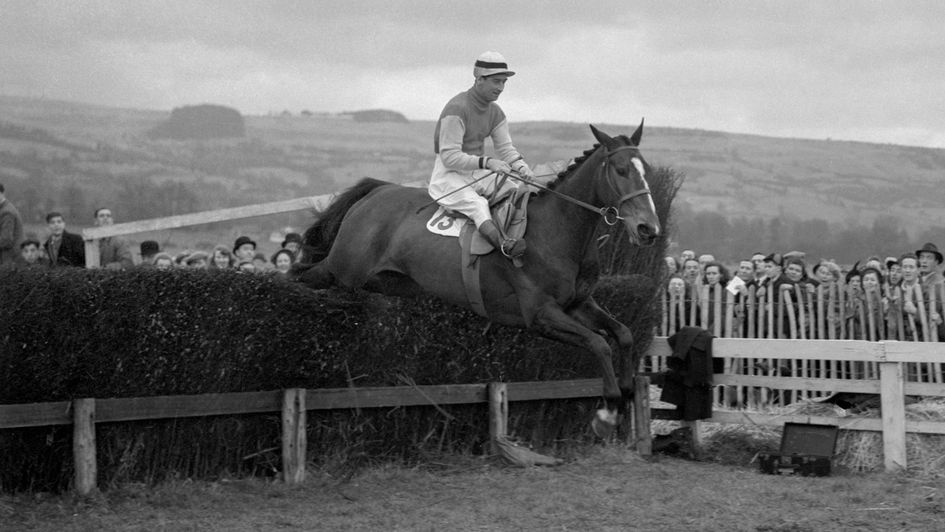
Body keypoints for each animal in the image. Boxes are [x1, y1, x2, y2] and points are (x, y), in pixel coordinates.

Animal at [294, 121, 656, 436]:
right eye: (621, 170)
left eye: (647, 170)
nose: (648, 229)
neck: (558, 230)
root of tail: (375, 191)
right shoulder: (541, 314)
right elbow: (599, 343)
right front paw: (607, 412)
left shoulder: (578, 304)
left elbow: (623, 334)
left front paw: (626, 391)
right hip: (343, 270)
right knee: (303, 276)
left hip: (384, 282)